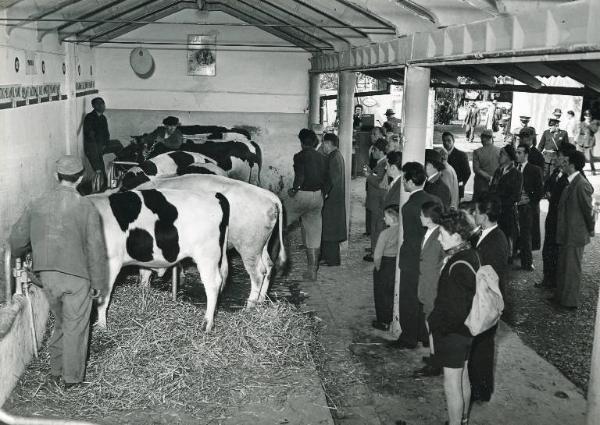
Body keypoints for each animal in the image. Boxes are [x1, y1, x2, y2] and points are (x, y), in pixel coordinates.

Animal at [88, 189, 230, 332]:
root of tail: (215, 195)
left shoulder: (110, 262)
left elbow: (102, 298)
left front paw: (101, 326)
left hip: (207, 255)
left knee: (213, 284)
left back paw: (207, 323)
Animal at [136, 172, 286, 304]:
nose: (142, 287)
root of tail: (270, 197)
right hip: (262, 244)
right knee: (269, 266)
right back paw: (261, 301)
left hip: (249, 246)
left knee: (258, 273)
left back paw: (250, 305)